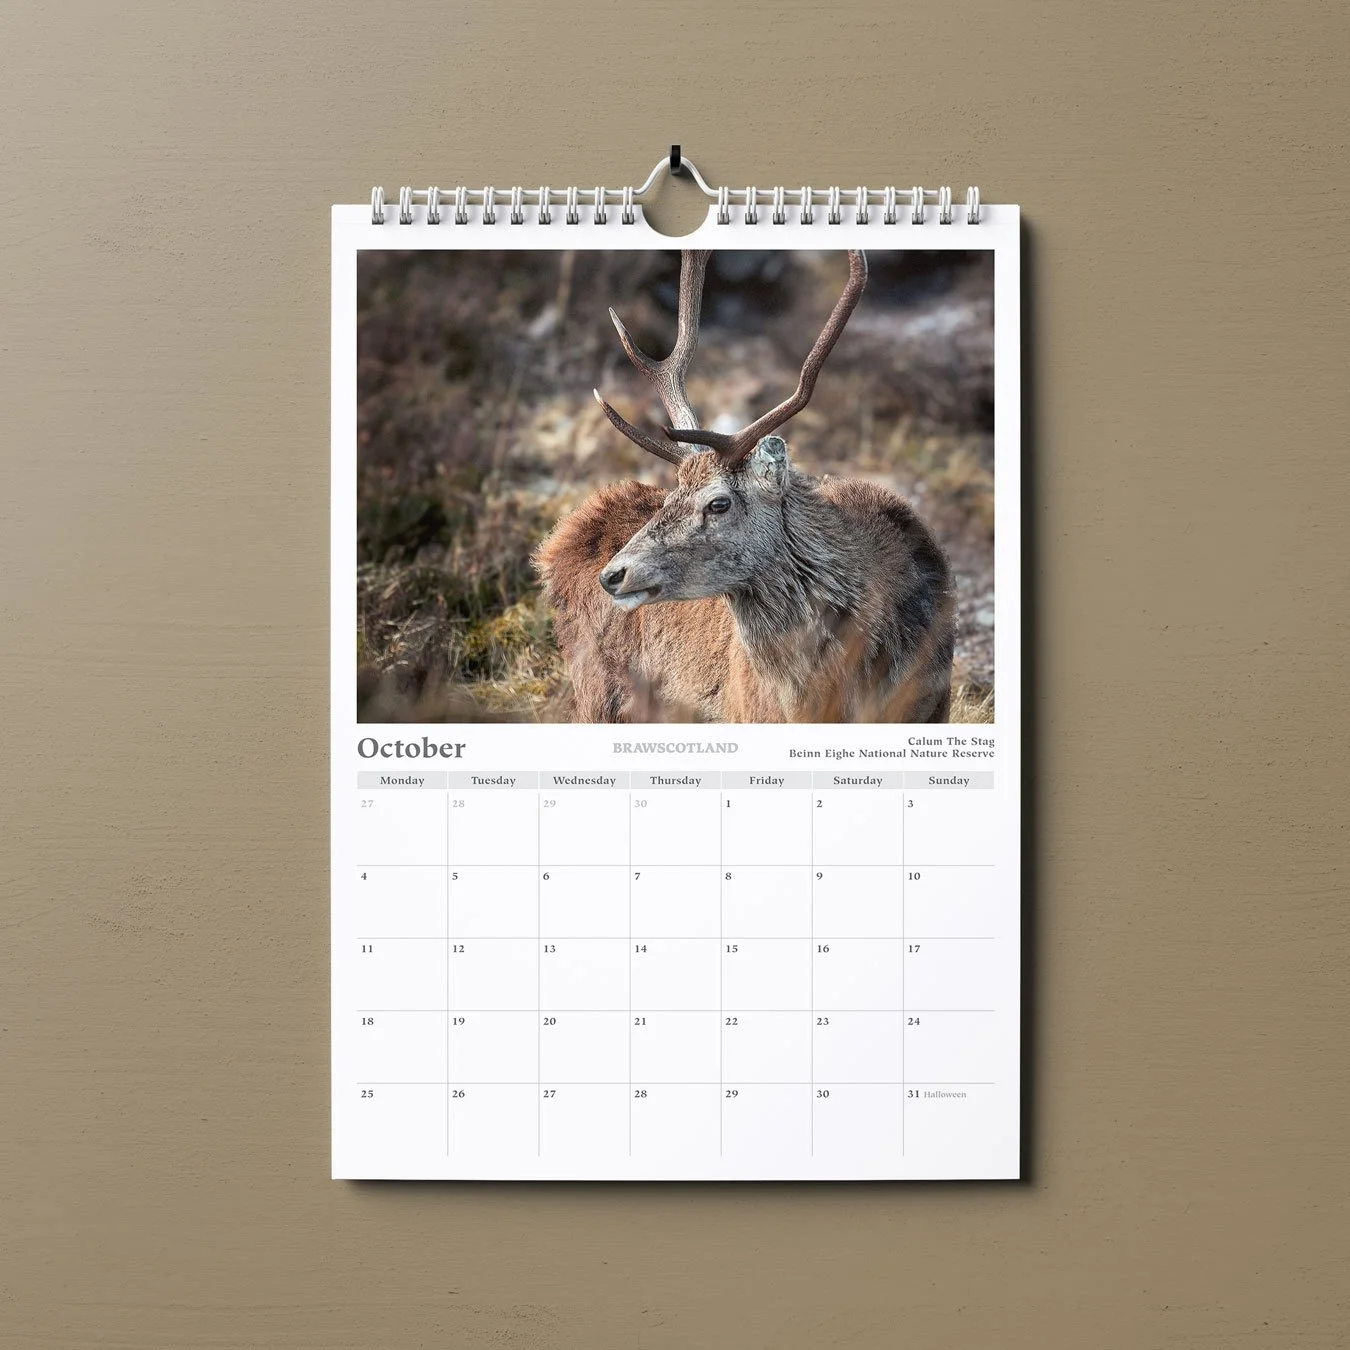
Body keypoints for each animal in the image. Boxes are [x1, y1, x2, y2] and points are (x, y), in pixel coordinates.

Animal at [533, 249, 956, 723]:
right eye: (672, 495)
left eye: (718, 503)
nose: (613, 574)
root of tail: (555, 547)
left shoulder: (935, 703)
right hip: (594, 691)